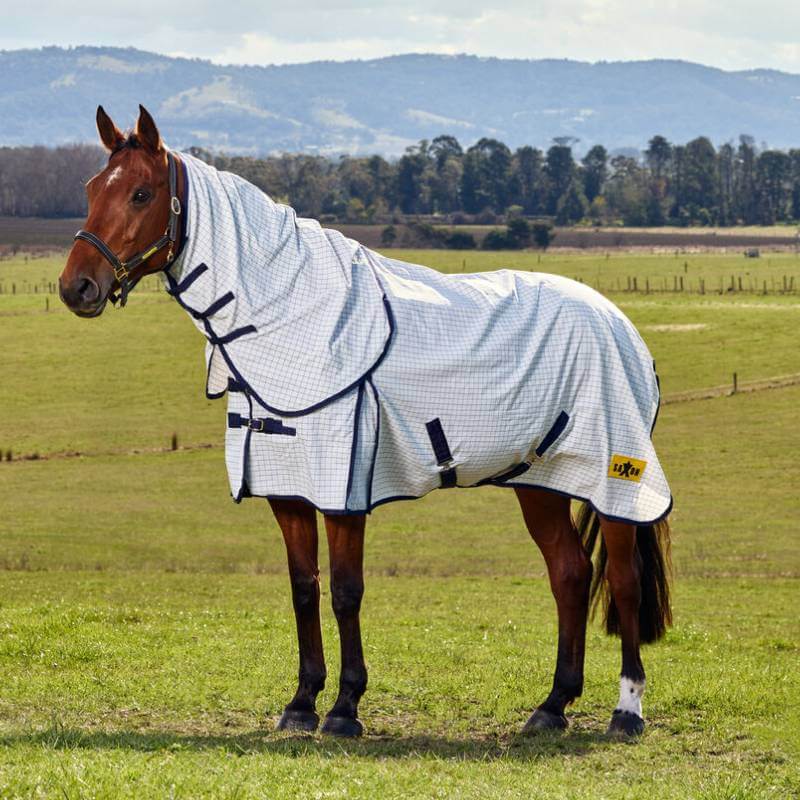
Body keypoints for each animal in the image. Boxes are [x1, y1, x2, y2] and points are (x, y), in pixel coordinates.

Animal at [59, 105, 672, 739]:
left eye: (140, 193)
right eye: (91, 189)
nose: (76, 287)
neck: (289, 314)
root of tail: (619, 324)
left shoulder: (342, 489)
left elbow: (345, 591)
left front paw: (345, 707)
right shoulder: (287, 489)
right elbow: (304, 589)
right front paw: (302, 702)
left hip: (613, 479)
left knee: (622, 582)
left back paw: (626, 711)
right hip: (540, 482)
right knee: (570, 574)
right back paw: (552, 706)